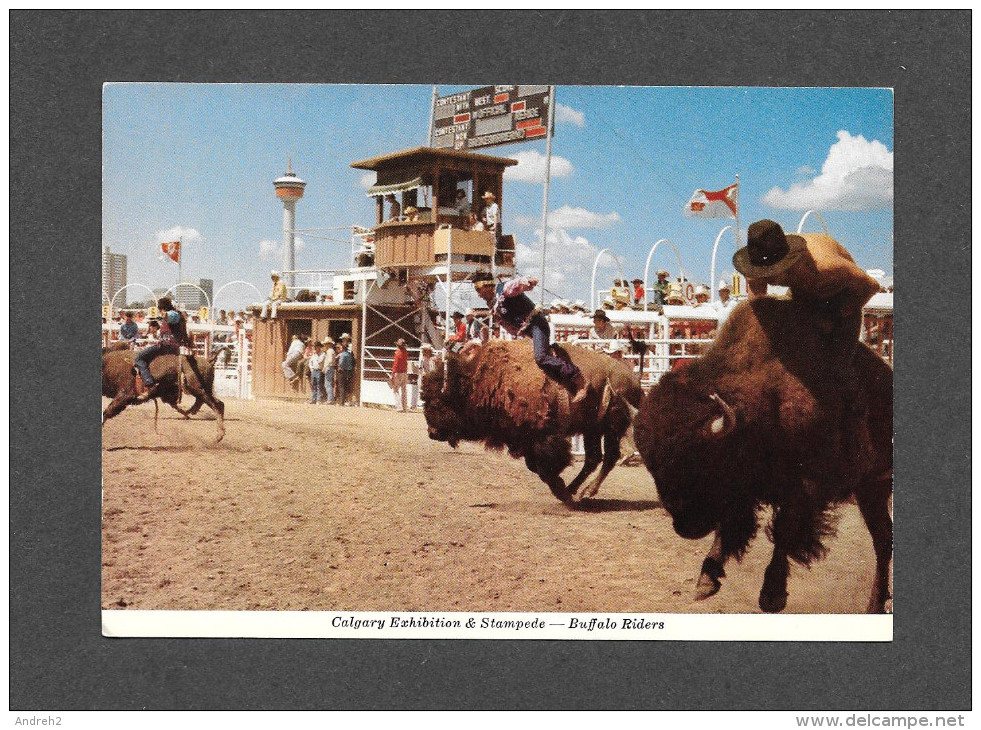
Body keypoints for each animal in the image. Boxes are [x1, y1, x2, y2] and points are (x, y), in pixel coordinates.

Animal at [422, 338, 644, 504]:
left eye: (438, 403)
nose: (432, 432)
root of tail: (634, 380)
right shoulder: (524, 440)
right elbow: (534, 466)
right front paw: (563, 491)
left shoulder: (543, 437)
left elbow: (546, 467)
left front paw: (560, 490)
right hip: (593, 429)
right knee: (594, 458)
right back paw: (575, 490)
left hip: (610, 429)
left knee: (609, 457)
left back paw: (585, 492)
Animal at [632, 298, 892, 612]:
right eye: (652, 467)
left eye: (700, 460)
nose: (686, 527)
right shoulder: (743, 492)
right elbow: (730, 526)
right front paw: (706, 580)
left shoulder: (806, 487)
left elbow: (784, 531)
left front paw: (772, 594)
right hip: (871, 490)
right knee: (883, 539)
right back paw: (875, 605)